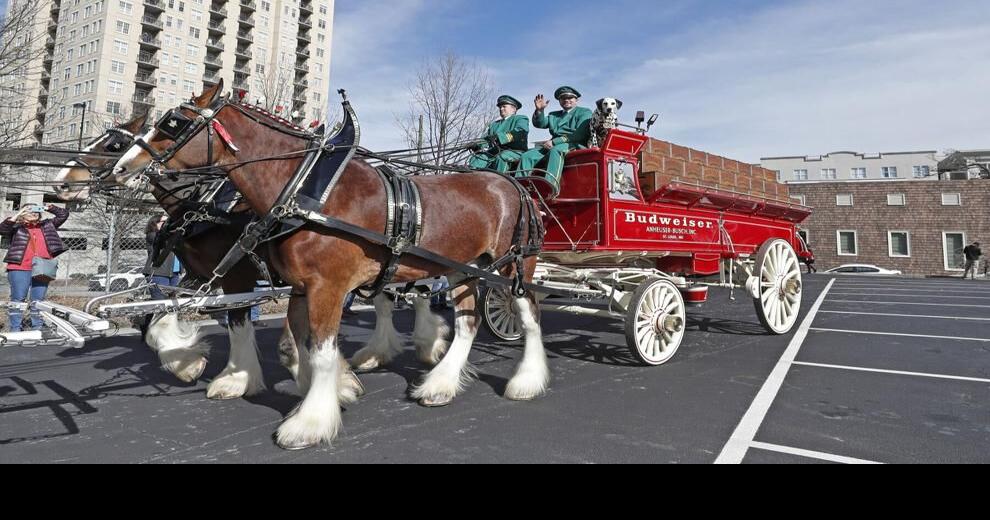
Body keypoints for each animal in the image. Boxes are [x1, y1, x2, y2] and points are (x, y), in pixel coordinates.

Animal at [112, 81, 556, 446]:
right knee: (467, 321)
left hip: (516, 267)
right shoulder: (298, 286)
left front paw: (310, 421)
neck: (307, 191)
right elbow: (302, 344)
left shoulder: (324, 286)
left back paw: (526, 381)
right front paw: (329, 389)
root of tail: (512, 183)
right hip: (461, 267)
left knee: (529, 314)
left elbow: (321, 350)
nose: (121, 168)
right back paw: (440, 385)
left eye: (172, 123)